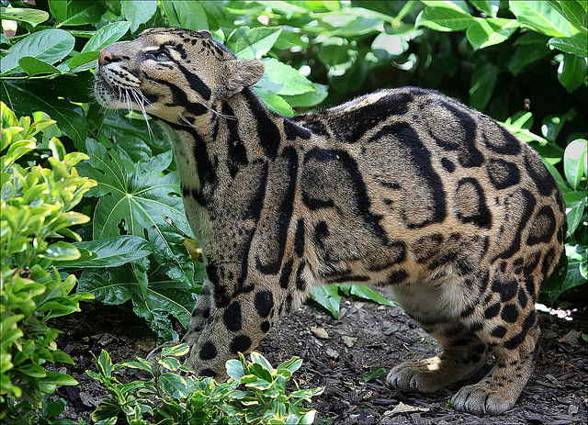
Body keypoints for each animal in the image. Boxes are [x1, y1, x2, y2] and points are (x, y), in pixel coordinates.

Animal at [93, 29, 564, 414]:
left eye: (162, 54)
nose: (101, 53)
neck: (197, 158)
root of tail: (556, 193)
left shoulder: (262, 280)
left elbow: (218, 343)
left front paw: (181, 387)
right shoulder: (220, 268)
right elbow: (198, 322)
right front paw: (166, 364)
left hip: (492, 282)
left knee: (526, 335)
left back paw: (496, 391)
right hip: (424, 290)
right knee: (468, 347)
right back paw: (428, 372)